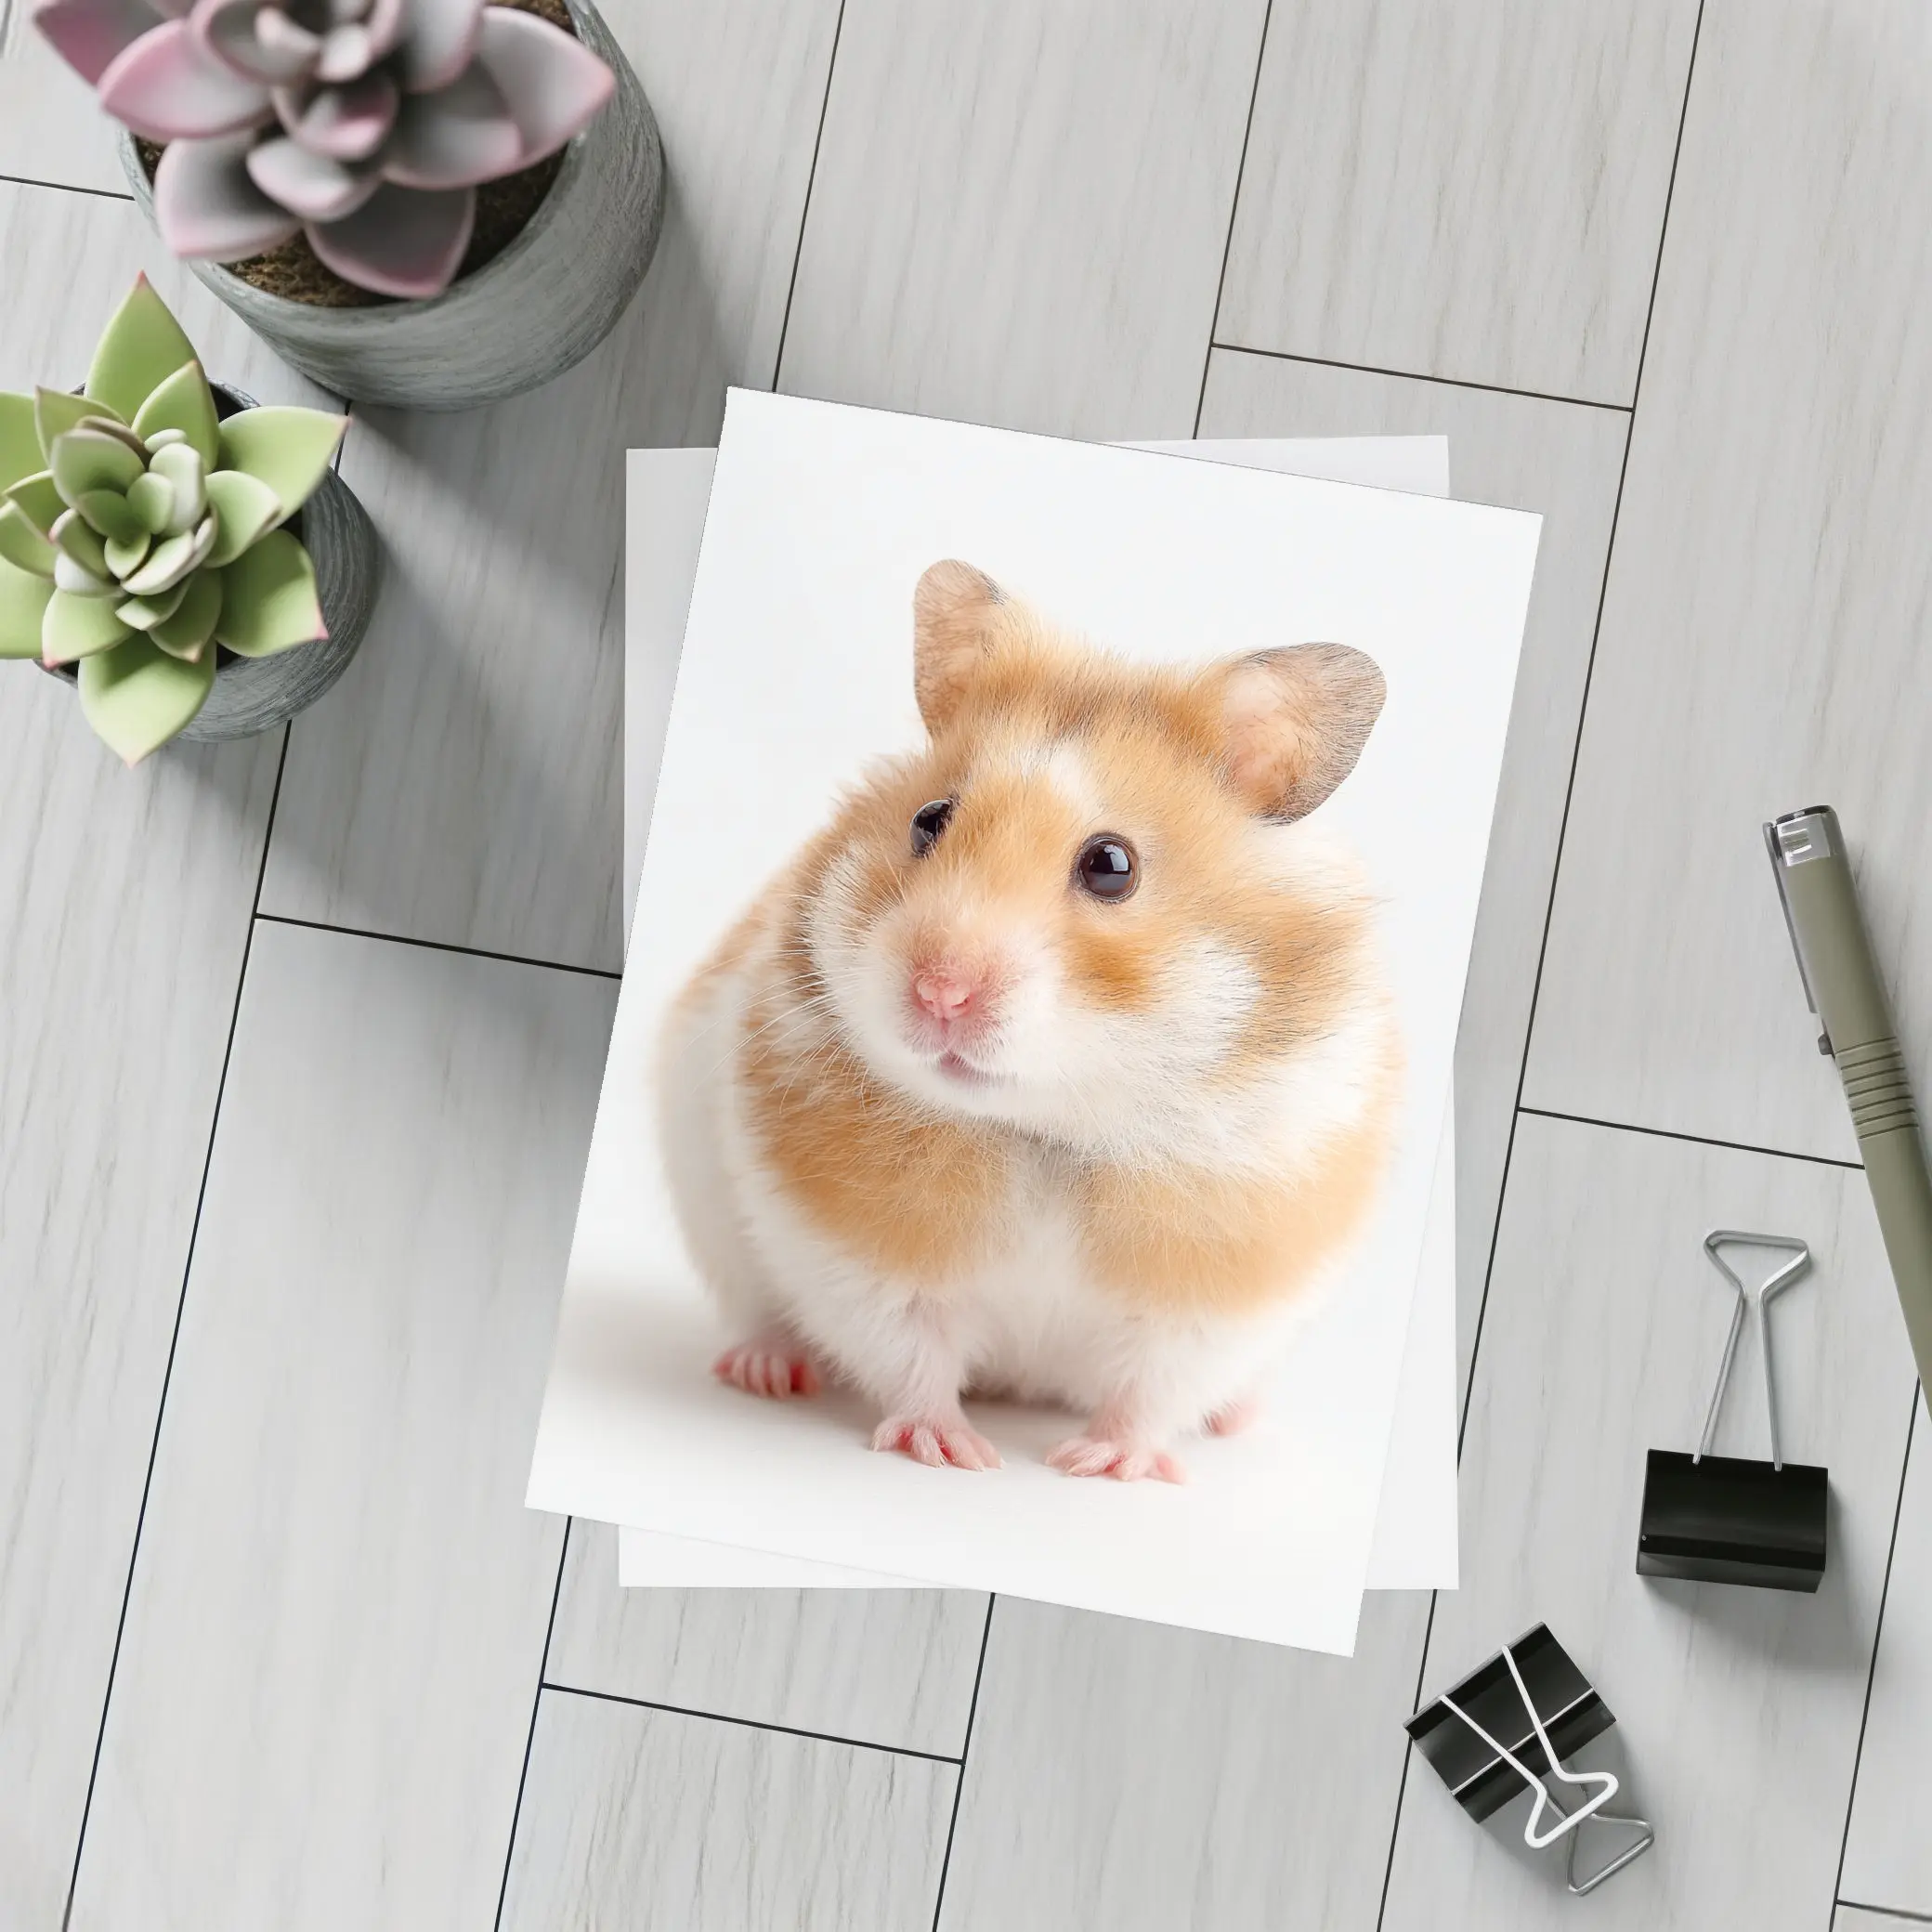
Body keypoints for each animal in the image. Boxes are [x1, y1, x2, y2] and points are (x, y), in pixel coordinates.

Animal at [657, 559, 1400, 1483]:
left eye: (1113, 865)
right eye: (928, 820)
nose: (940, 993)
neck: (1048, 1127)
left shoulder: (1222, 1291)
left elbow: (1154, 1387)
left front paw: (1102, 1467)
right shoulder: (856, 1252)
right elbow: (911, 1351)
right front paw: (952, 1454)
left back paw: (1235, 1421)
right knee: (765, 1319)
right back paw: (765, 1371)